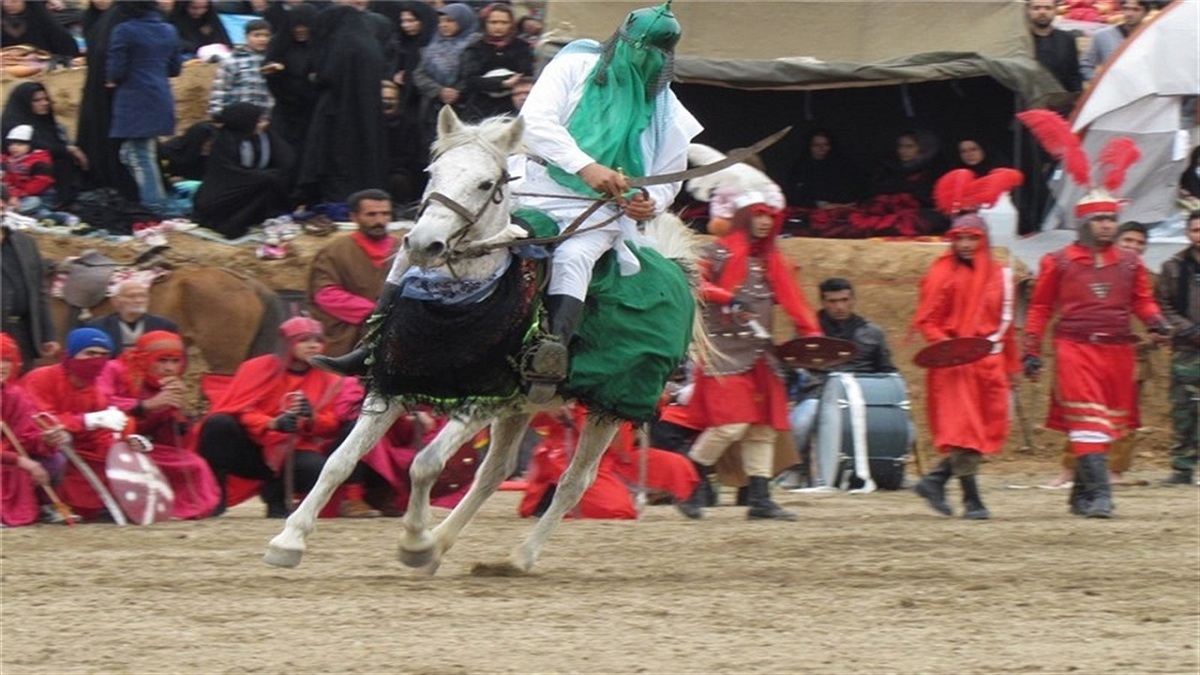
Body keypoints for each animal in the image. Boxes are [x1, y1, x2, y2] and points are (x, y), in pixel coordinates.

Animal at [262, 106, 700, 571]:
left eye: (486, 184)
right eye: (433, 172)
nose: (423, 244)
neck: (457, 305)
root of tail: (674, 268)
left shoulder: (480, 400)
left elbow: (424, 464)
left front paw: (414, 542)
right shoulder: (394, 384)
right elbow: (339, 461)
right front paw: (289, 540)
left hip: (610, 407)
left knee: (574, 481)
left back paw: (516, 558)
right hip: (521, 407)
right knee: (494, 472)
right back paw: (444, 542)